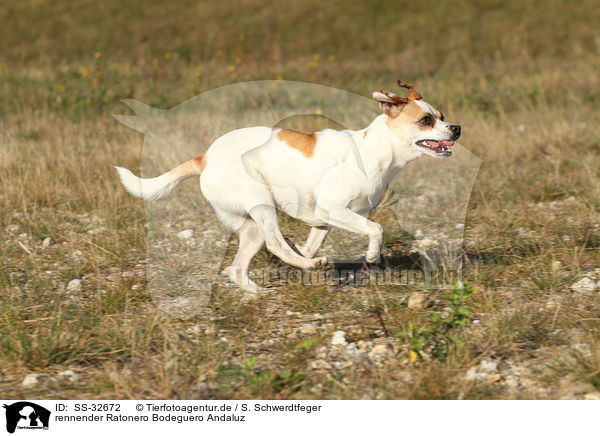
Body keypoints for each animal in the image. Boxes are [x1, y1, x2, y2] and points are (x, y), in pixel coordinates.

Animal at [118, 80, 464, 294]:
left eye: (442, 116)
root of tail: (204, 157)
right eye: (426, 121)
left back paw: (259, 291)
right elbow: (376, 230)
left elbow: (311, 242)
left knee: (238, 267)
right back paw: (309, 265)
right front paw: (369, 256)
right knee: (275, 245)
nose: (457, 128)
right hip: (262, 207)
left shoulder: (324, 219)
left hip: (251, 228)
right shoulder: (333, 209)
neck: (375, 151)